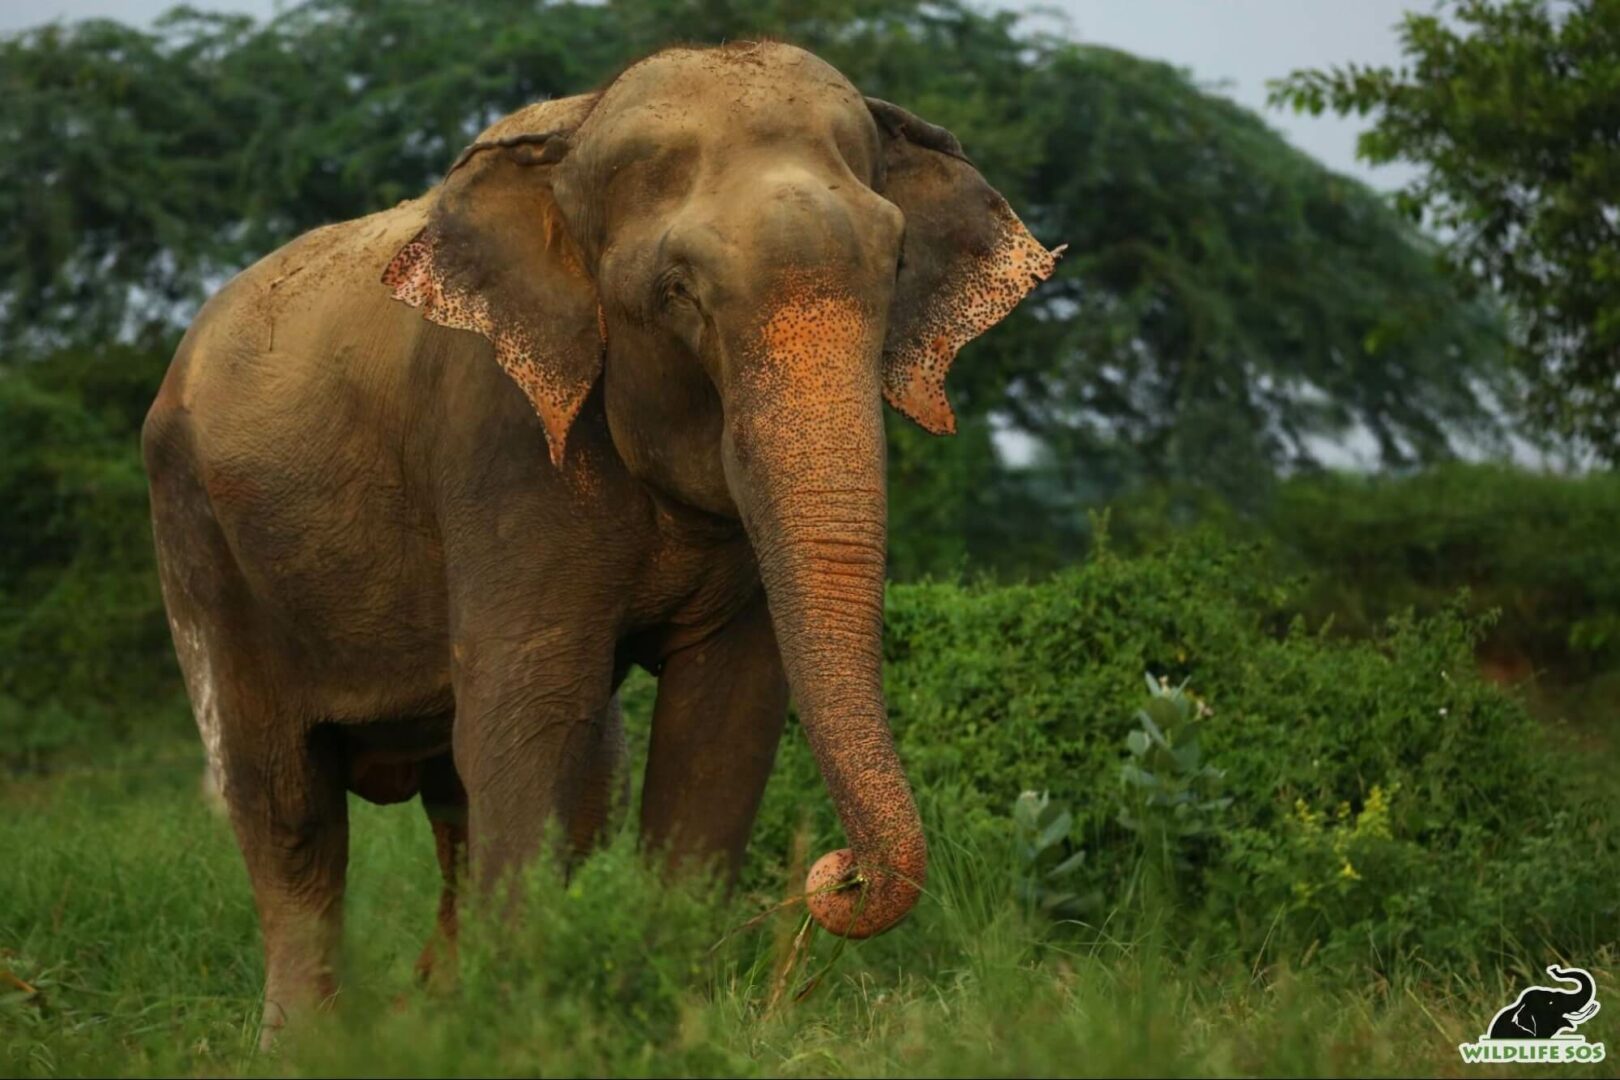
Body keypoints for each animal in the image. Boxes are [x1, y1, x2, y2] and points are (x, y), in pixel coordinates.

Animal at [142, 40, 1062, 1036]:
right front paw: (522, 1025)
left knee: (505, 790)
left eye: (894, 268)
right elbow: (532, 709)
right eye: (678, 292)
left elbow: (725, 715)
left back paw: (435, 1001)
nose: (835, 876)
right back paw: (313, 1039)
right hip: (198, 539)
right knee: (286, 805)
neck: (574, 141)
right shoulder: (497, 435)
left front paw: (656, 1010)